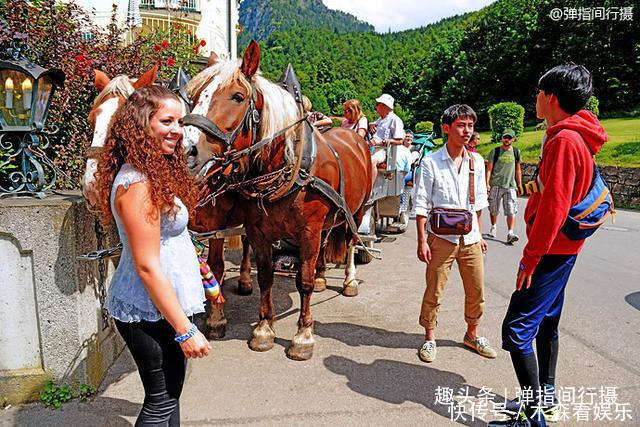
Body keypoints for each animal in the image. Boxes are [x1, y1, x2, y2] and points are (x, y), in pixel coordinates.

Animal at [185, 41, 372, 362]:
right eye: (195, 97)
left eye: (238, 96)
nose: (187, 149)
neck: (288, 167)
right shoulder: (259, 231)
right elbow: (266, 277)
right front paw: (263, 329)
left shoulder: (308, 230)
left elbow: (303, 281)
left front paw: (303, 335)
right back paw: (323, 276)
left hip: (356, 212)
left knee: (349, 243)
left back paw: (348, 281)